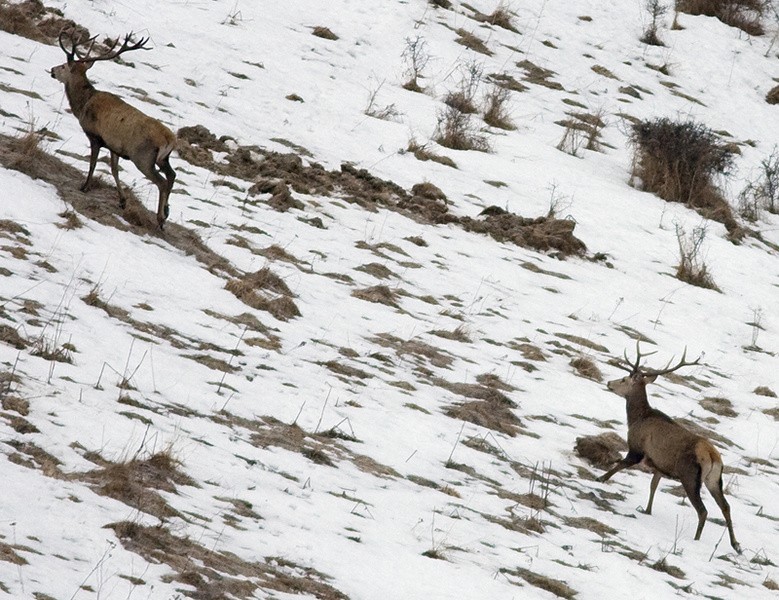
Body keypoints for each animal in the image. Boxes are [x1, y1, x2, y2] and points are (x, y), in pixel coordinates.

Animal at [51, 32, 176, 230]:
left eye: (63, 65)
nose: (52, 70)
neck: (83, 105)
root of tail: (170, 139)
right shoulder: (114, 146)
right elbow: (115, 170)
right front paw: (122, 200)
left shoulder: (95, 136)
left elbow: (93, 163)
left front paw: (84, 186)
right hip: (163, 158)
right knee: (172, 175)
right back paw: (166, 211)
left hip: (143, 157)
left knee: (162, 182)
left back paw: (160, 219)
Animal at [600, 344, 740, 552]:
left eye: (624, 378)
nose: (609, 382)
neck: (636, 418)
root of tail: (712, 457)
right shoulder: (660, 464)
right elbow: (653, 485)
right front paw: (647, 510)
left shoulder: (637, 448)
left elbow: (622, 464)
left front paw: (600, 478)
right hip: (714, 480)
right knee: (726, 506)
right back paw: (736, 544)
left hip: (690, 476)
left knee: (703, 510)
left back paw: (696, 539)